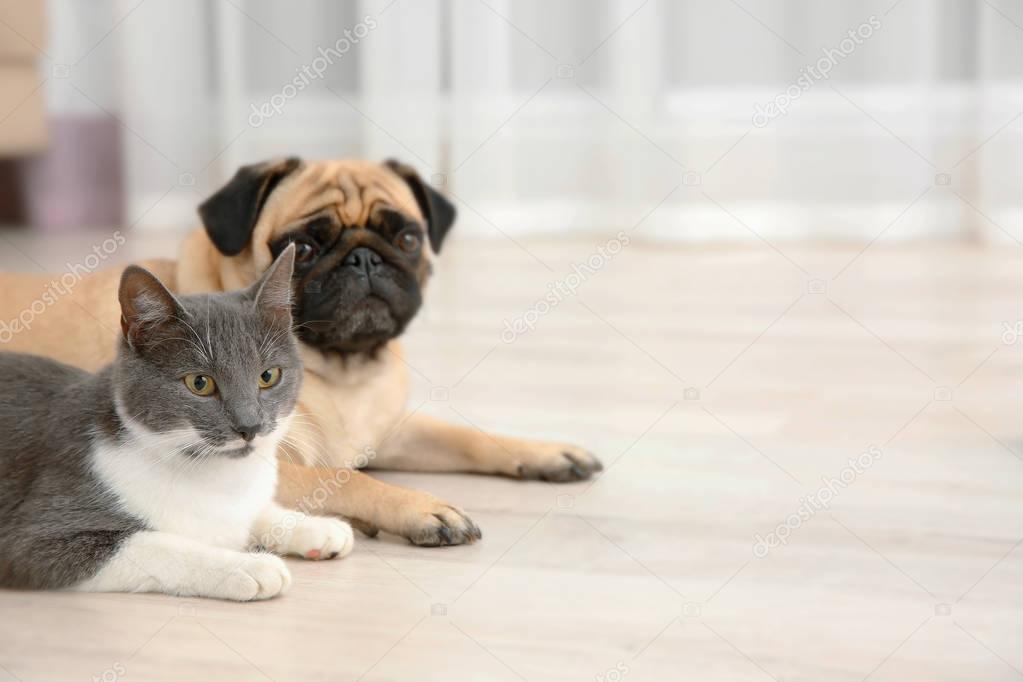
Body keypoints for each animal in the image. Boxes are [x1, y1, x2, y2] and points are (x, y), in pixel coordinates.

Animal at [0, 158, 601, 543]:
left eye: (407, 239)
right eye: (305, 247)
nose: (364, 258)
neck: (344, 373)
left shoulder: (392, 431)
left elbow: (467, 437)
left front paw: (545, 453)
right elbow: (350, 479)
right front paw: (418, 507)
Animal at [0, 246, 351, 601]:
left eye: (268, 376)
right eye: (200, 383)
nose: (249, 425)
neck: (212, 474)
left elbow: (254, 512)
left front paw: (316, 526)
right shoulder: (37, 535)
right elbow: (155, 545)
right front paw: (248, 566)